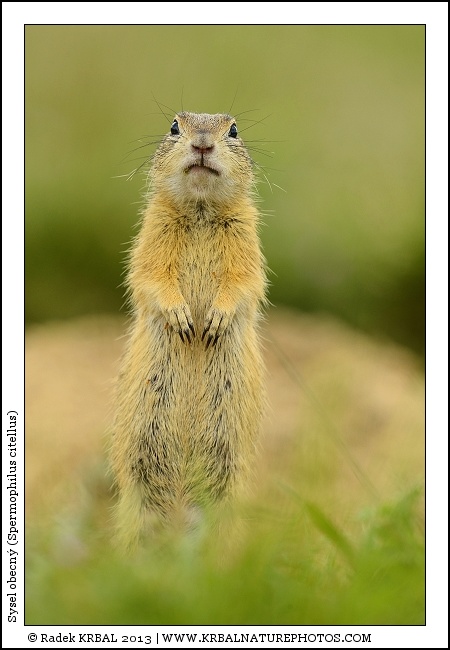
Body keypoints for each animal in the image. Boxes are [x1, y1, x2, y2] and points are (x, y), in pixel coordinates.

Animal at [110, 111, 268, 550]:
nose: (201, 143)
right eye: (174, 127)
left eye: (234, 130)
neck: (200, 210)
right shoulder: (152, 234)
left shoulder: (247, 240)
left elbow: (244, 282)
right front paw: (182, 317)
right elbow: (150, 276)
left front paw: (213, 321)